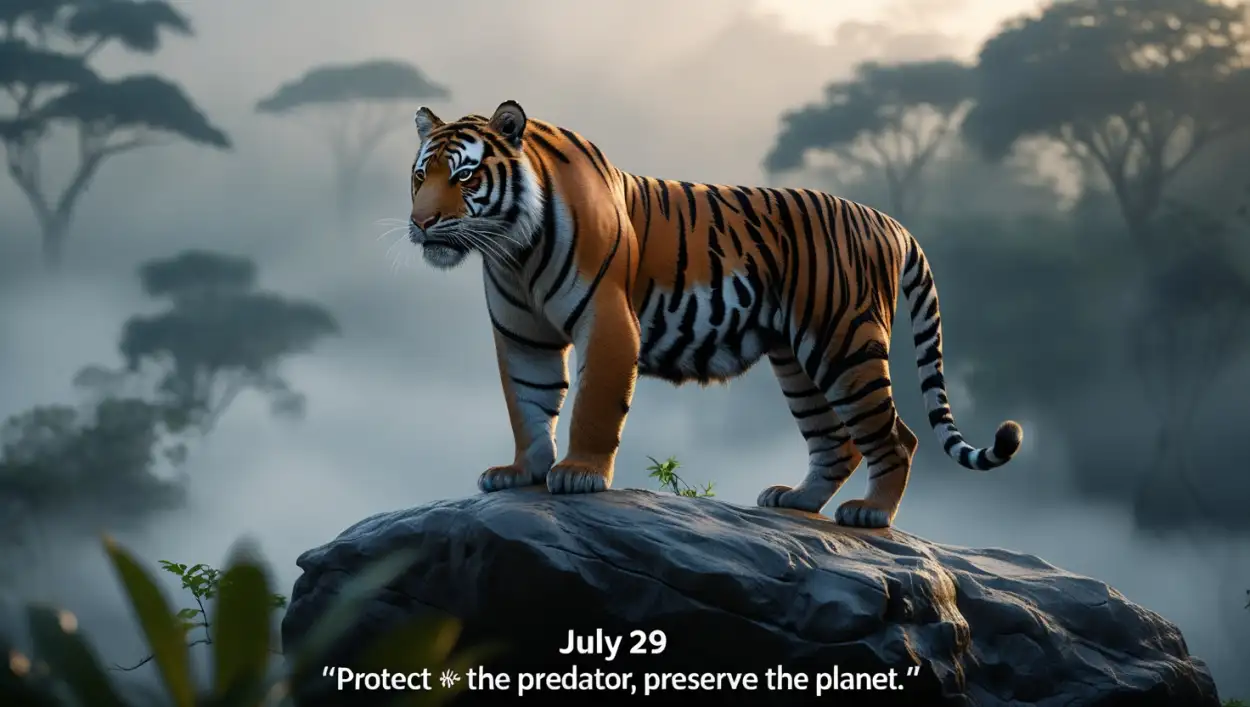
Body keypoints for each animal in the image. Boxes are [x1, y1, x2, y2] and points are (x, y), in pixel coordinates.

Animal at [406, 100, 1023, 528]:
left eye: (464, 176)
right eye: (420, 176)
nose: (421, 223)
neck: (514, 249)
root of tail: (889, 222)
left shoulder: (607, 320)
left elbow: (593, 406)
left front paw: (579, 474)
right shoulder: (523, 335)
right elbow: (527, 405)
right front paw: (521, 473)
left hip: (845, 344)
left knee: (896, 437)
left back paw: (870, 512)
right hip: (799, 361)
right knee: (836, 440)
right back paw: (795, 500)